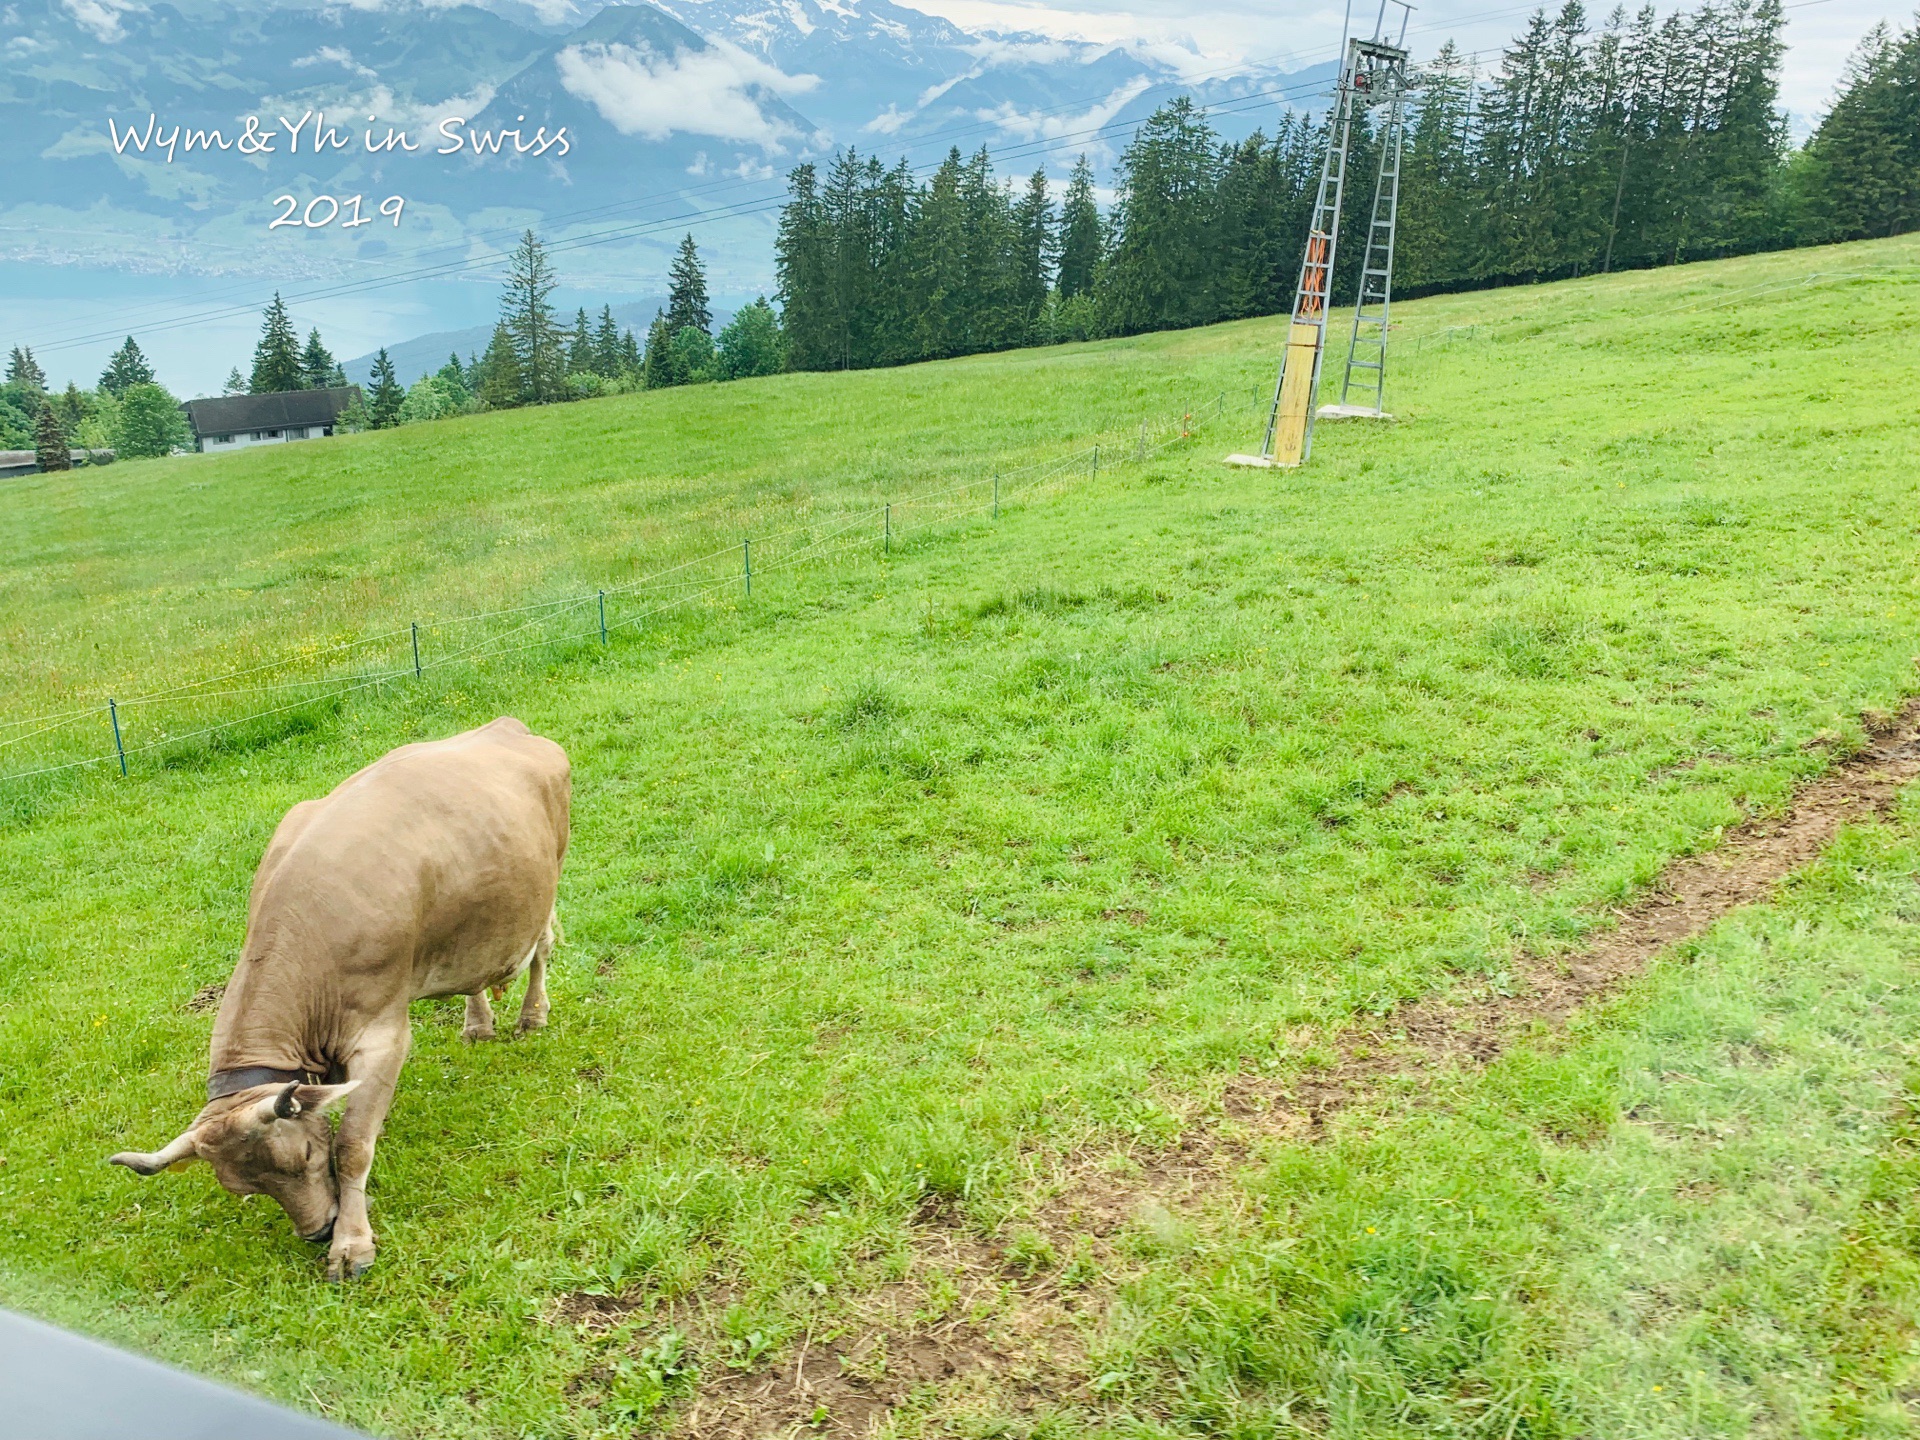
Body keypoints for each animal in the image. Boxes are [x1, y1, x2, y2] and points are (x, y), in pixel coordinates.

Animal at [108, 721, 568, 1282]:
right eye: (242, 1187)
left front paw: (351, 1243)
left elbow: (352, 1145)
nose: (316, 1231)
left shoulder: (382, 1036)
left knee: (542, 948)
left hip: (546, 886)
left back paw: (532, 1015)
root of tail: (509, 727)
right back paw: (478, 1023)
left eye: (303, 1155)